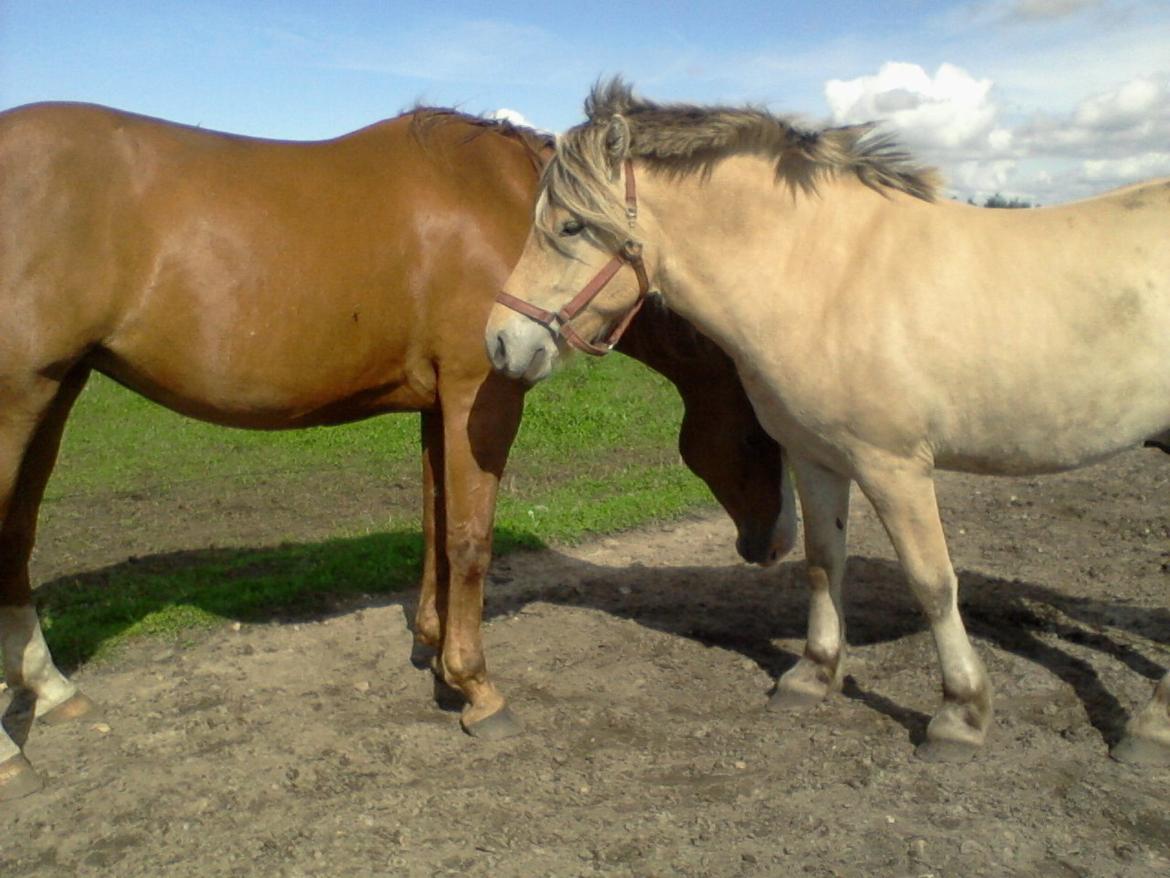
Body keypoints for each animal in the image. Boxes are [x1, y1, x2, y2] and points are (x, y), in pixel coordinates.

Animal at [0, 101, 795, 800]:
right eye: (762, 430)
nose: (775, 543)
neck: (517, 216)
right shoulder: (482, 392)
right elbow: (469, 540)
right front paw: (478, 689)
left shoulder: (438, 407)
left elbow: (436, 532)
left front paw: (436, 658)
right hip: (21, 398)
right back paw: (12, 755)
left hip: (56, 392)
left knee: (18, 540)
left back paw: (51, 688)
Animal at [486, 79, 1170, 764]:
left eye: (571, 226)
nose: (500, 342)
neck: (824, 274)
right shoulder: (814, 456)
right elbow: (822, 560)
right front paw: (815, 673)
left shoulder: (895, 468)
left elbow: (932, 582)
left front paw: (961, 712)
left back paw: (1149, 726)